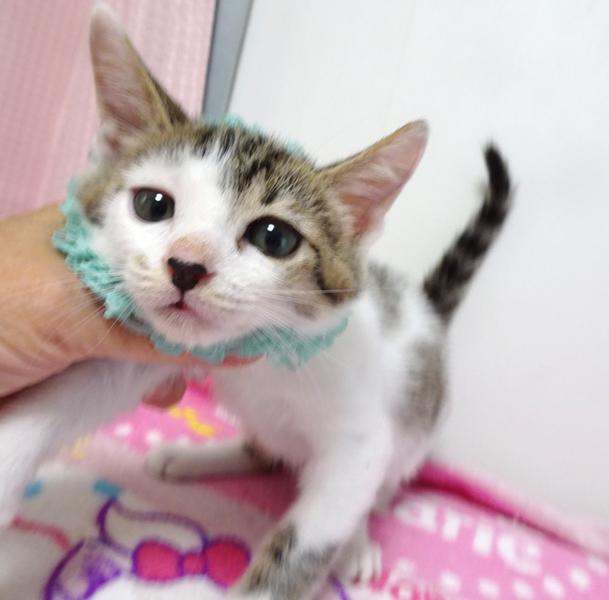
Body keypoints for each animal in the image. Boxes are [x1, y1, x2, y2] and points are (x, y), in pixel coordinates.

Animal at [0, 4, 510, 600]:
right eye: (152, 205)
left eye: (274, 238)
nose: (187, 266)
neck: (261, 356)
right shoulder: (156, 350)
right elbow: (66, 397)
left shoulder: (359, 445)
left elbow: (311, 536)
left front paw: (321, 552)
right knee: (265, 447)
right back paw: (192, 457)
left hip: (415, 424)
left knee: (376, 485)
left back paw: (357, 542)